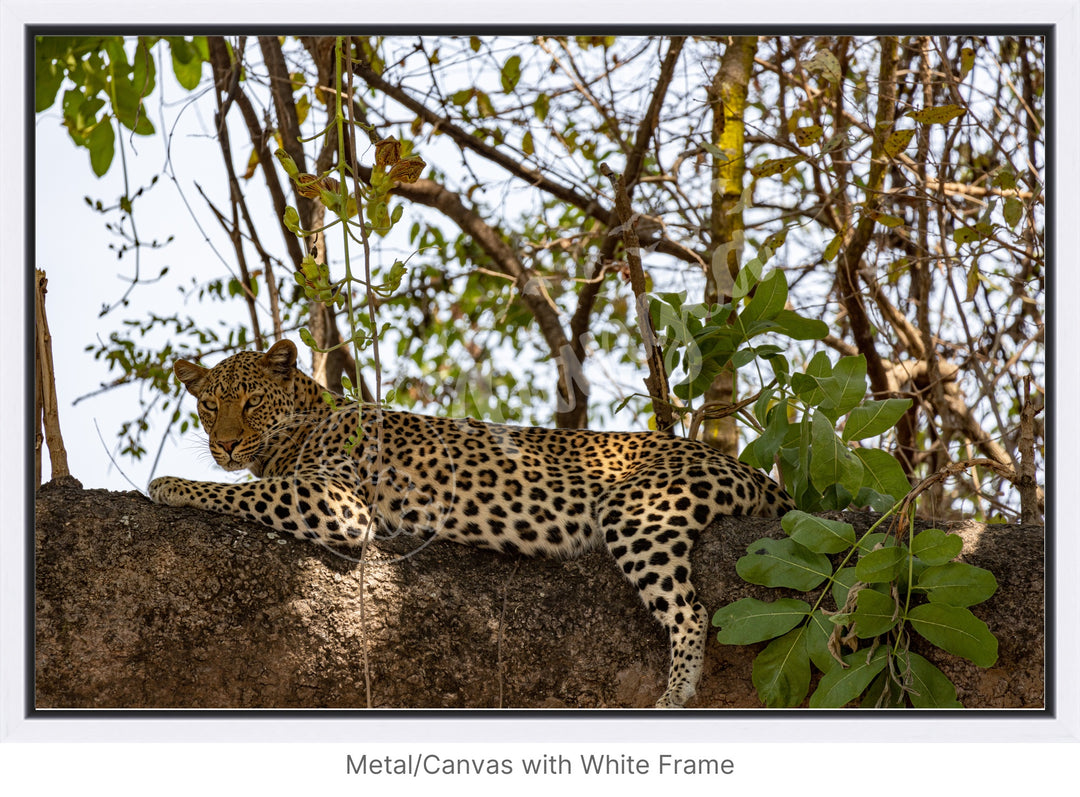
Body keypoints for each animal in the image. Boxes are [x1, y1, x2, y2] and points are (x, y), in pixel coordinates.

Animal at [147, 339, 794, 704]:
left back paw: (676, 689)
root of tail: (748, 469)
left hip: (638, 509)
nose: (225, 444)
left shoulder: (336, 499)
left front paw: (169, 484)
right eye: (208, 405)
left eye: (251, 402)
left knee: (691, 611)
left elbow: (248, 492)